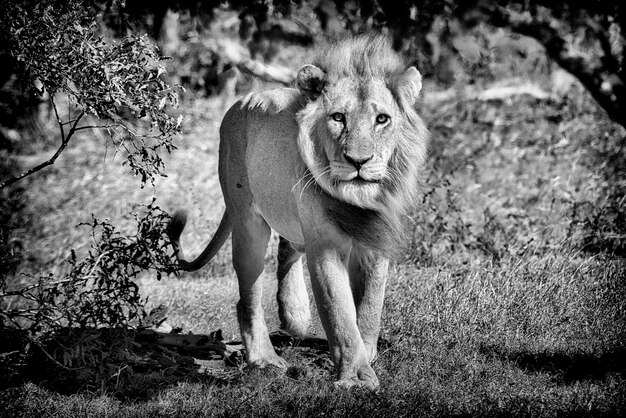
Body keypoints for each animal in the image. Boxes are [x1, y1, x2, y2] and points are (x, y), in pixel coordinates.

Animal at [167, 35, 428, 388]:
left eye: (382, 119)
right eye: (338, 117)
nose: (358, 161)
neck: (357, 200)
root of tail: (241, 101)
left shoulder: (374, 241)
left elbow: (370, 305)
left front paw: (367, 352)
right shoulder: (325, 245)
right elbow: (339, 311)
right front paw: (356, 376)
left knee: (287, 248)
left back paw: (295, 316)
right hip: (247, 219)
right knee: (248, 296)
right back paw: (264, 358)